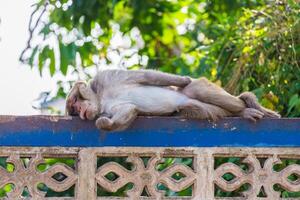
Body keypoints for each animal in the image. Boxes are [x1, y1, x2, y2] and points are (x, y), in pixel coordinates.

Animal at [65, 69, 278, 131]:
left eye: (75, 103)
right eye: (74, 110)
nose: (80, 112)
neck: (101, 97)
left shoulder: (108, 77)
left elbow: (147, 76)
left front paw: (183, 79)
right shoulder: (106, 108)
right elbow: (128, 110)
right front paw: (104, 124)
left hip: (203, 86)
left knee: (200, 91)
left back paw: (247, 106)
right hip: (202, 107)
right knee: (193, 107)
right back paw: (243, 112)